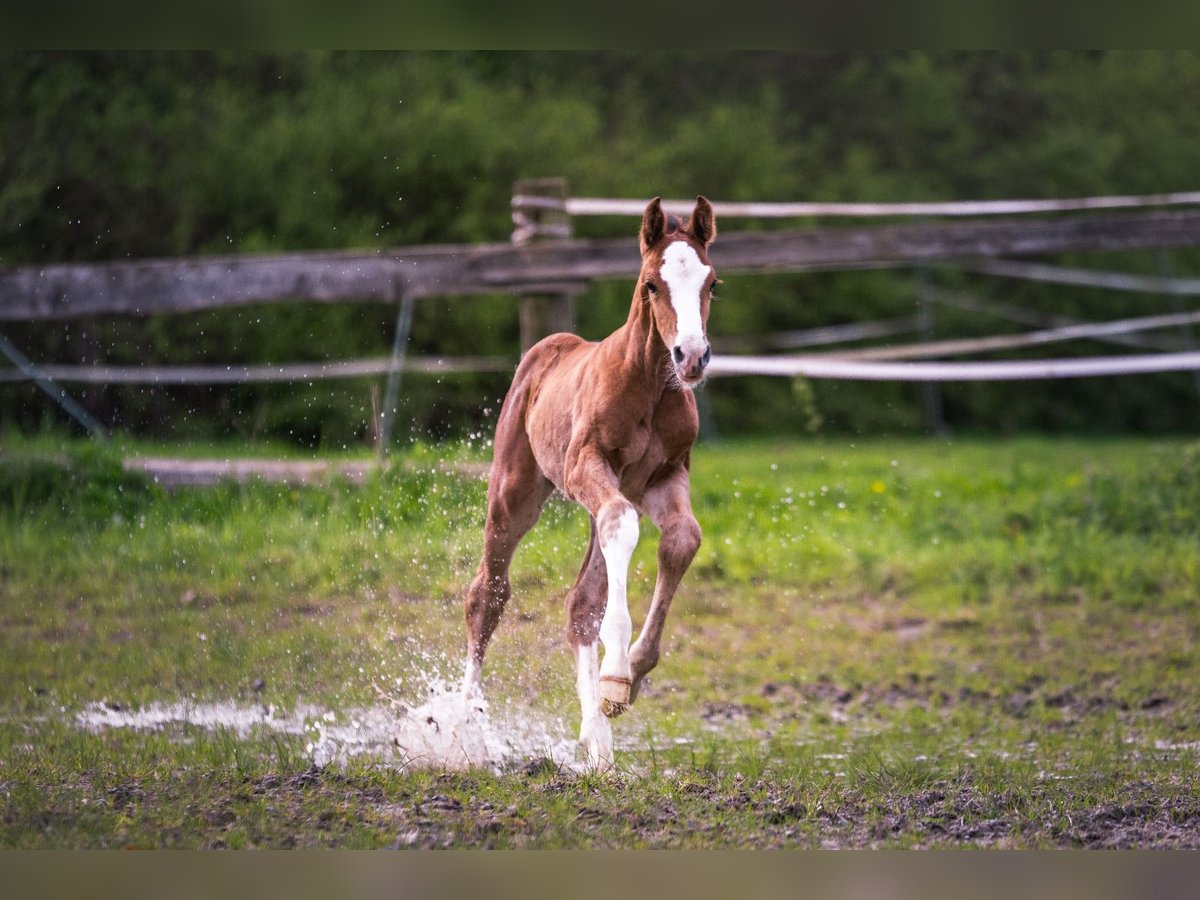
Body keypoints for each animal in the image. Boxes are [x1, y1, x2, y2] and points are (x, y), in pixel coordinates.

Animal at [463, 195, 715, 768]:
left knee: (580, 600)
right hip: (515, 492)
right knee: (487, 593)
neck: (649, 387)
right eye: (651, 283)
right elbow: (621, 526)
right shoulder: (588, 465)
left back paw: (597, 739)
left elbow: (681, 540)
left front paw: (630, 676)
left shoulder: (663, 477)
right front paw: (617, 670)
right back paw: (459, 722)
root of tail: (547, 348)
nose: (691, 357)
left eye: (713, 283)